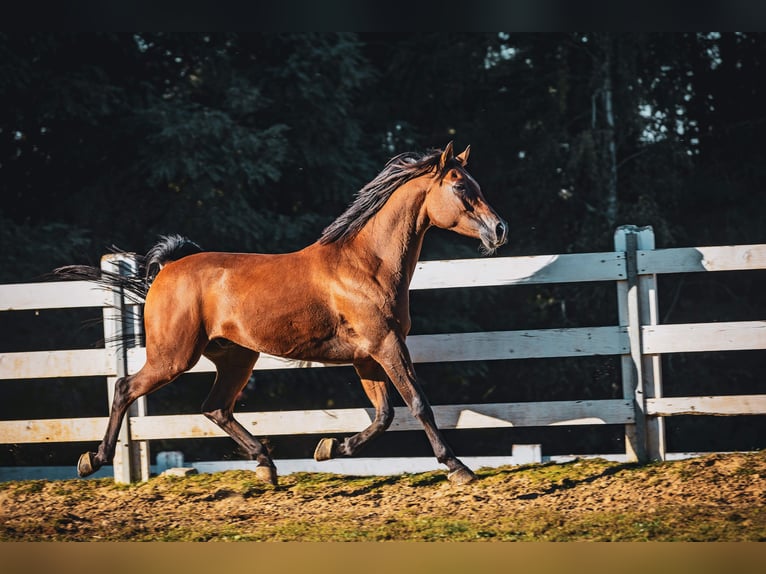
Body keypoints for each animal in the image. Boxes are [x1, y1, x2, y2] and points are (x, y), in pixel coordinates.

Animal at [57, 143, 508, 486]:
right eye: (461, 186)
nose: (499, 230)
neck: (367, 265)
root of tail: (167, 268)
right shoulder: (387, 346)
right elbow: (418, 404)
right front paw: (458, 468)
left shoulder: (368, 356)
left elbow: (383, 415)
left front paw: (329, 448)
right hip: (173, 356)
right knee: (125, 388)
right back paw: (93, 460)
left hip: (236, 357)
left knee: (216, 407)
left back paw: (266, 466)